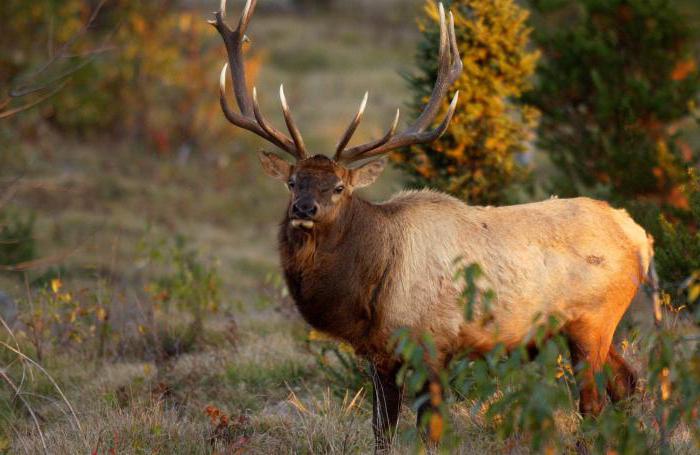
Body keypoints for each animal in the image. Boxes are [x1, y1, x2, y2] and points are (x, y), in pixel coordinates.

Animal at [209, 0, 656, 448]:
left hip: (592, 319)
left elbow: (431, 432)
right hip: (593, 327)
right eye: (292, 181)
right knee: (627, 383)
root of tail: (640, 237)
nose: (304, 209)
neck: (371, 289)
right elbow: (381, 431)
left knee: (593, 403)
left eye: (338, 187)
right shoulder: (380, 354)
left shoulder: (432, 344)